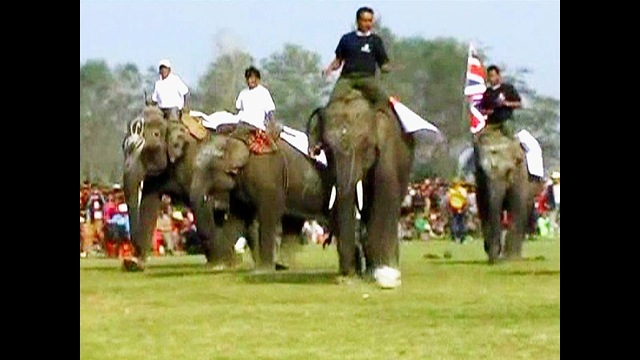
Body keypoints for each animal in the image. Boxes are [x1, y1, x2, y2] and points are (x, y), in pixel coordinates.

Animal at [308, 80, 418, 280]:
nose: (350, 272)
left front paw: (381, 270)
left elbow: (385, 198)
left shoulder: (387, 150)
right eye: (326, 149)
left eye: (365, 146)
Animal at [472, 128, 532, 262]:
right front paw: (492, 254)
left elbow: (517, 209)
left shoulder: (520, 176)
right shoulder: (480, 184)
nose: (495, 260)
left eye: (508, 171)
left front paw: (511, 257)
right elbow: (484, 210)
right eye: (481, 171)